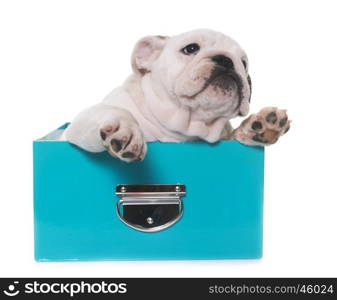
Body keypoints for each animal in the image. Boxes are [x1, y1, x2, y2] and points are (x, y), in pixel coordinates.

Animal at [63, 28, 288, 162]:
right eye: (191, 48)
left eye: (243, 63)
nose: (226, 60)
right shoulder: (79, 124)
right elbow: (112, 111)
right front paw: (125, 129)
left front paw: (258, 126)